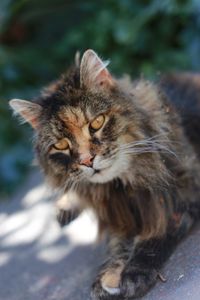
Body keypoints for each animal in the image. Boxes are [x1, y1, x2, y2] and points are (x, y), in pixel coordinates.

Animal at [9, 50, 200, 298]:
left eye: (97, 123)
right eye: (61, 145)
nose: (87, 161)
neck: (124, 186)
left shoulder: (183, 198)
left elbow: (156, 234)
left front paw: (133, 275)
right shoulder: (118, 215)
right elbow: (118, 247)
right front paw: (108, 278)